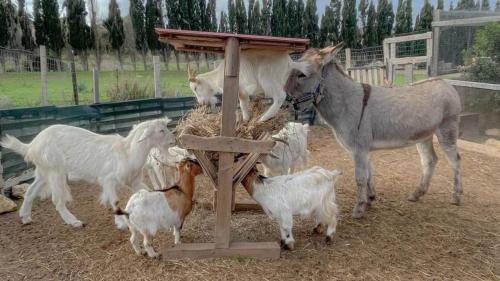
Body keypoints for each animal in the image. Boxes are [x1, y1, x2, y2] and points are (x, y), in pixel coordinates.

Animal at [0, 117, 176, 226]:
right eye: (161, 131)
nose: (173, 140)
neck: (127, 152)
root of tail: (32, 145)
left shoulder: (133, 180)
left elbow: (150, 192)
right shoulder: (108, 179)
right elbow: (114, 200)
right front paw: (120, 223)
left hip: (44, 171)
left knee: (31, 191)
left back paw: (25, 217)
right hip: (55, 170)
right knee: (57, 200)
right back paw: (74, 221)